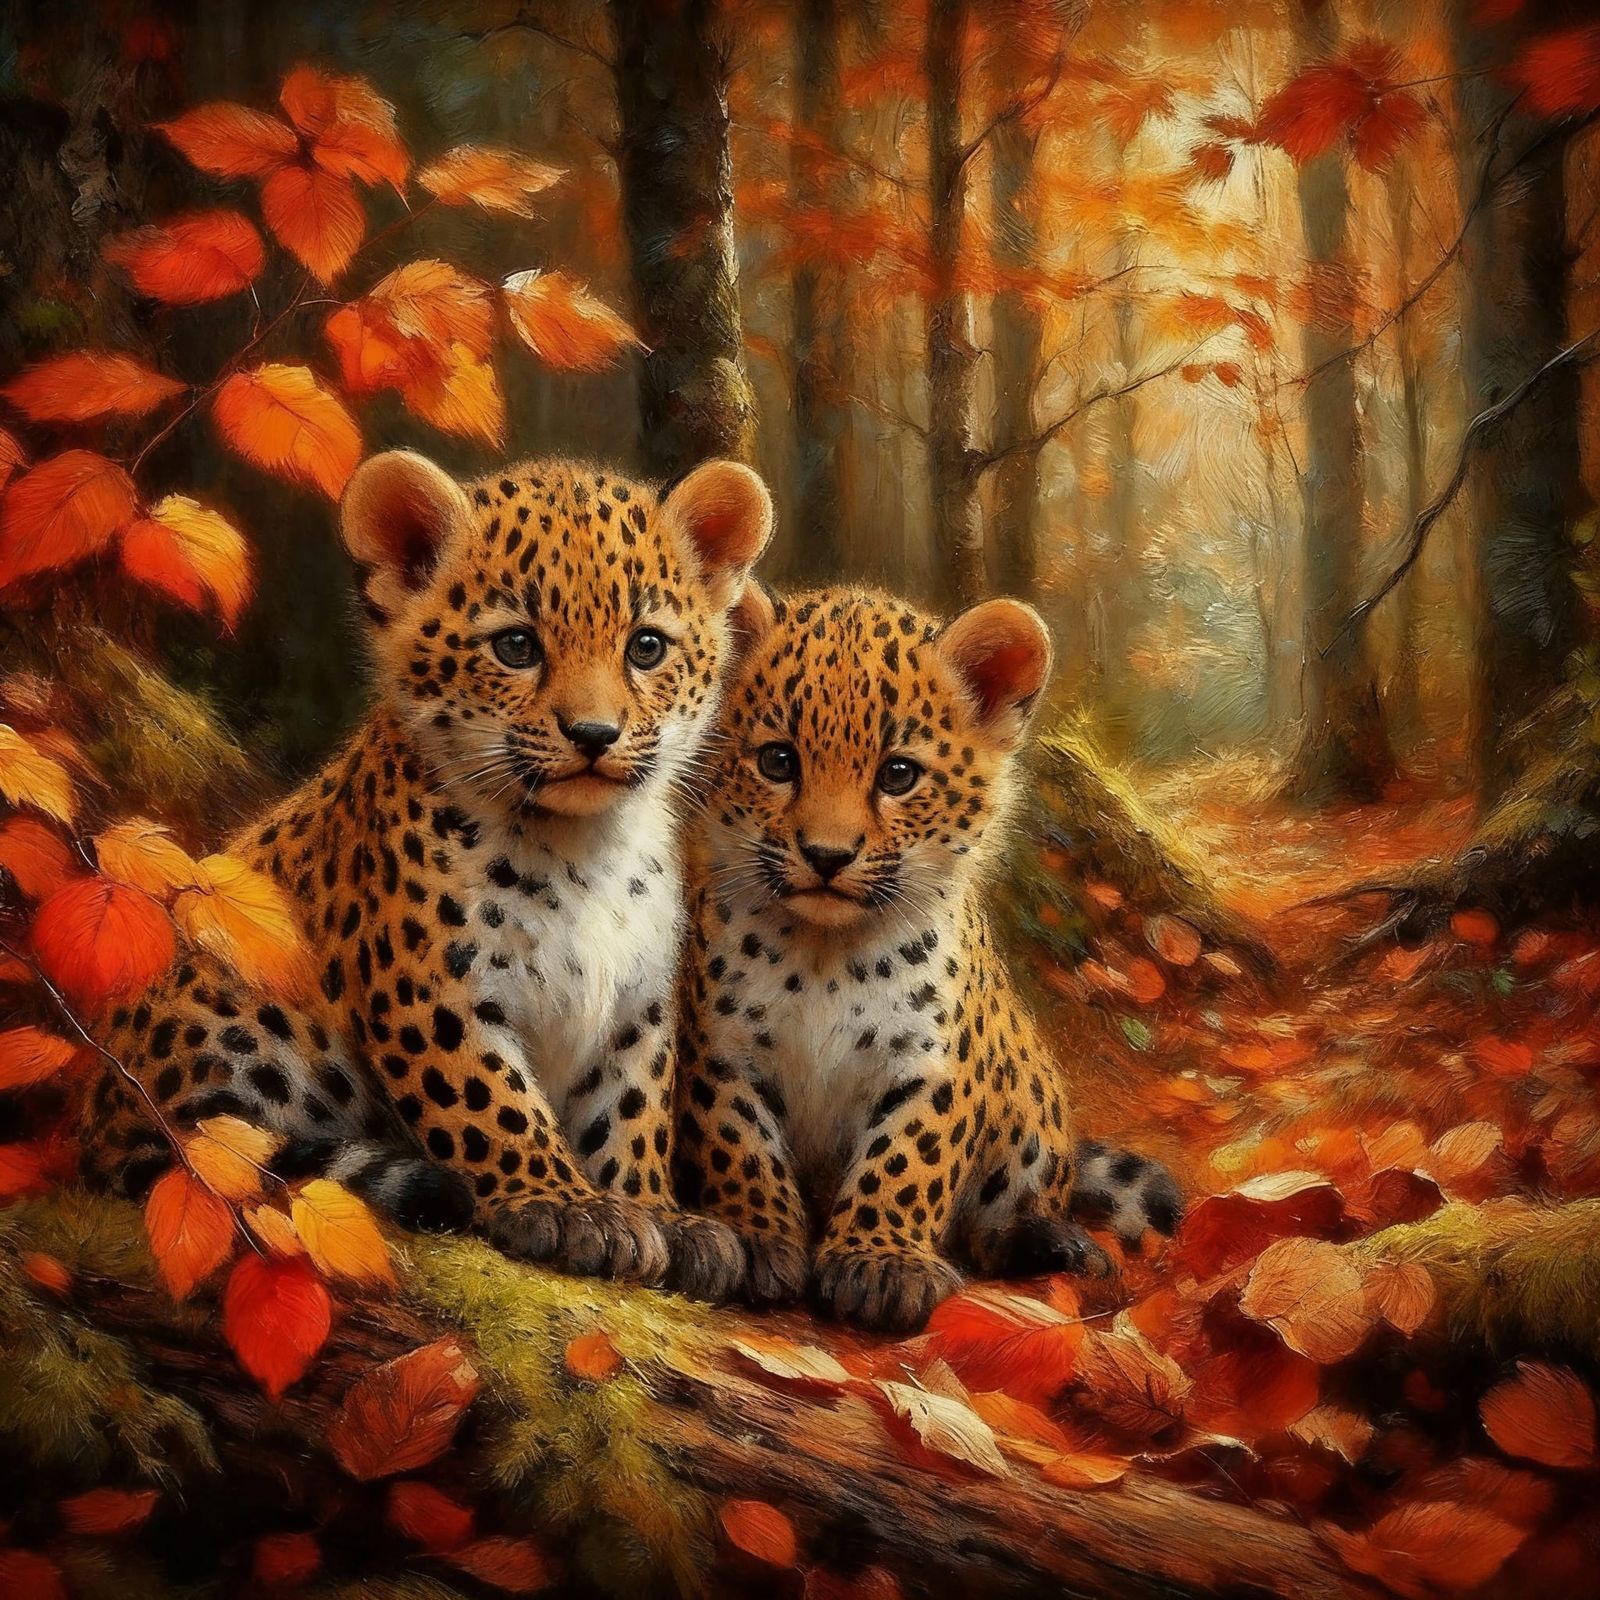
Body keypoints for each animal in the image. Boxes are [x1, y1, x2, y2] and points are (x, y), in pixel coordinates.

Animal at [81, 447, 772, 1297]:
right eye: (516, 646)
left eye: (646, 647)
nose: (594, 734)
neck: (583, 849)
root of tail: (97, 1110)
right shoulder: (431, 987)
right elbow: (491, 1101)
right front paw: (567, 1207)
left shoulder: (636, 1004)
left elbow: (633, 1109)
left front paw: (657, 1214)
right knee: (206, 1147)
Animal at [674, 585, 1181, 1332]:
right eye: (778, 761)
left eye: (899, 774)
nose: (826, 856)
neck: (823, 954)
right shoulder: (721, 1054)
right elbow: (741, 1147)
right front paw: (758, 1236)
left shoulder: (932, 1063)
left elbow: (907, 1160)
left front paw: (882, 1263)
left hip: (1030, 1102)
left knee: (1005, 1219)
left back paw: (1053, 1241)